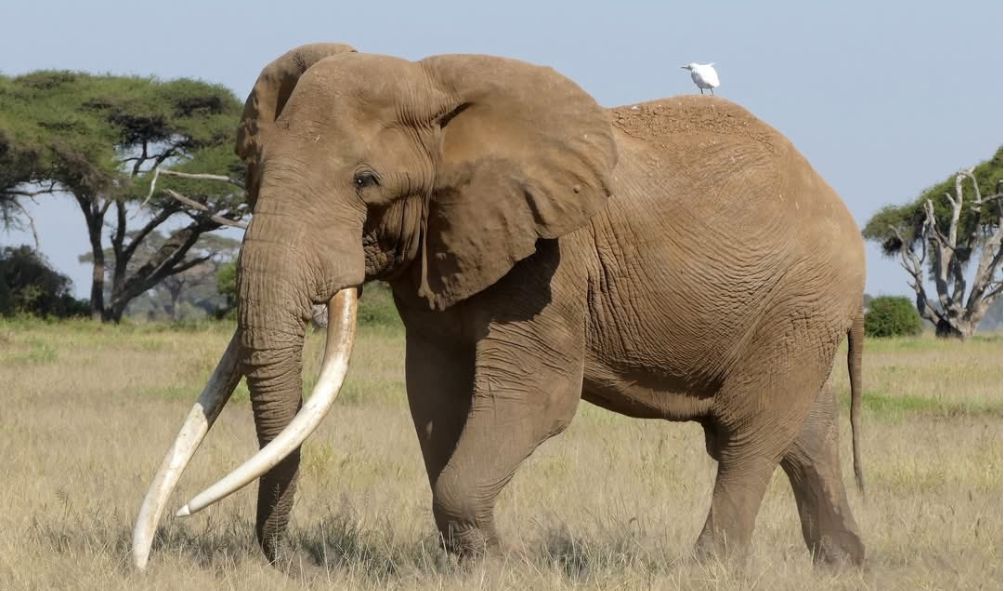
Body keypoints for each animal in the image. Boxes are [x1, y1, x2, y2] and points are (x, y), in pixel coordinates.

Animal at [132, 42, 867, 570]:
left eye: (365, 180)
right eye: (255, 174)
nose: (286, 561)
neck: (436, 93)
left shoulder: (551, 260)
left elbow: (533, 397)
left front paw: (504, 564)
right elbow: (436, 394)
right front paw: (474, 563)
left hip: (801, 302)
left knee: (747, 433)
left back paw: (709, 569)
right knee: (805, 429)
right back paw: (843, 565)